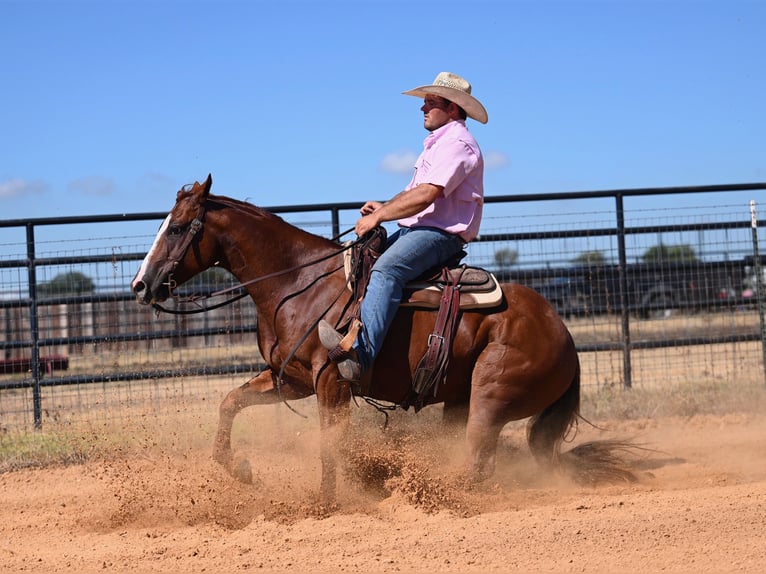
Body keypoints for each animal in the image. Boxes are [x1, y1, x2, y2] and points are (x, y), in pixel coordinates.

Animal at [132, 174, 636, 504]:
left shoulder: (331, 383)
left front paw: (326, 504)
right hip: (459, 400)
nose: (140, 285)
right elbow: (230, 403)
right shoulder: (291, 379)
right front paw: (240, 469)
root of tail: (563, 335)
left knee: (478, 459)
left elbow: (329, 445)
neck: (299, 283)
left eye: (177, 227)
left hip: (491, 396)